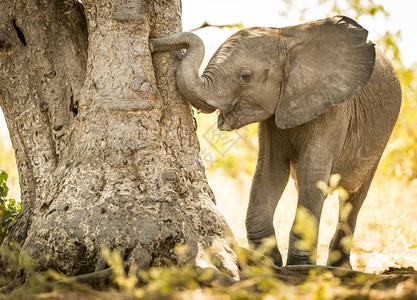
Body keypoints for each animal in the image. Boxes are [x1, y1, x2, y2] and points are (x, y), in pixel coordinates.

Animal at [150, 15, 400, 268]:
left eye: (245, 76)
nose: (151, 42)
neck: (285, 37)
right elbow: (270, 171)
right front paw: (267, 262)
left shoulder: (334, 109)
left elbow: (312, 172)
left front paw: (300, 266)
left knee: (353, 198)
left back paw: (339, 266)